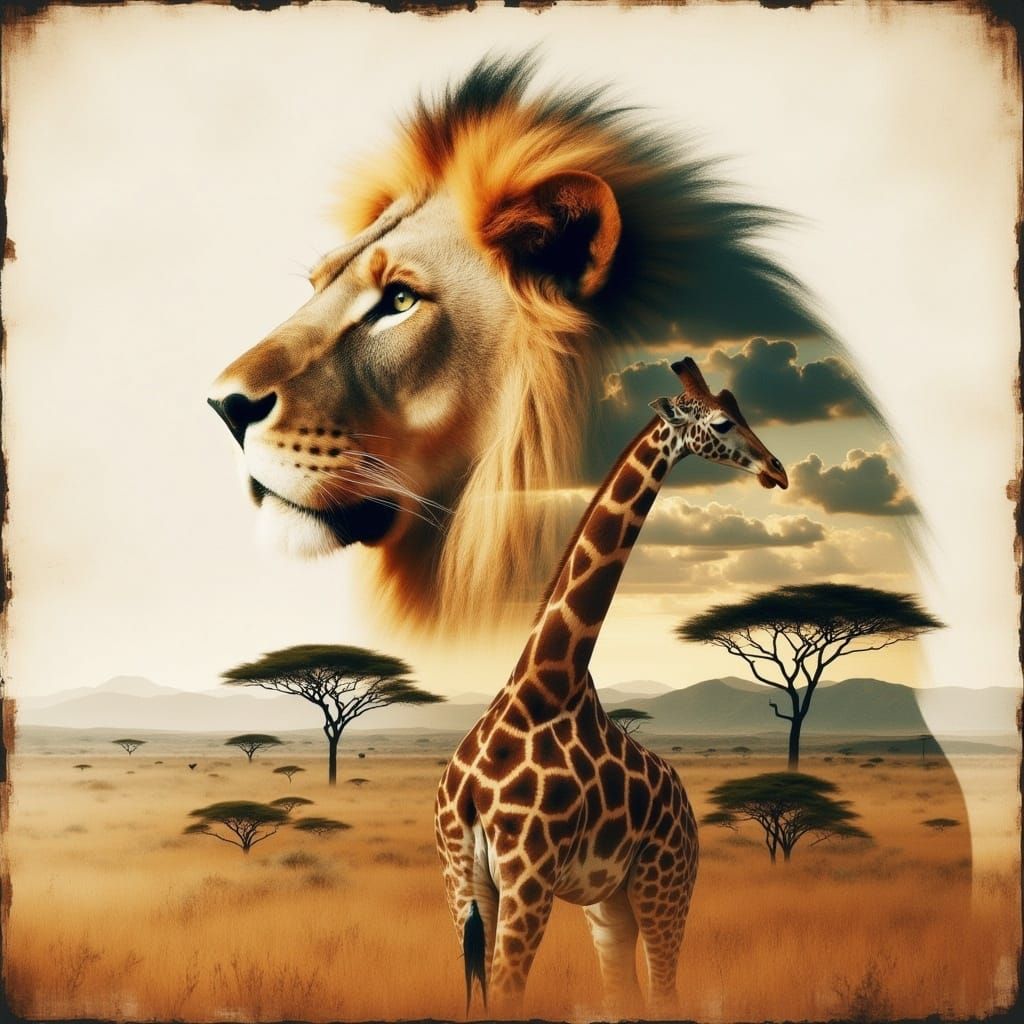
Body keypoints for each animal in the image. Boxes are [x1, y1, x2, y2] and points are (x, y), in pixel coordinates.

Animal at [434, 357, 788, 1017]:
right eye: (722, 422)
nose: (776, 470)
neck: (544, 687)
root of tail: (689, 811)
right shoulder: (478, 881)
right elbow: (495, 997)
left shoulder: (525, 877)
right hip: (607, 901)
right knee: (628, 988)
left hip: (664, 884)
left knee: (663, 991)